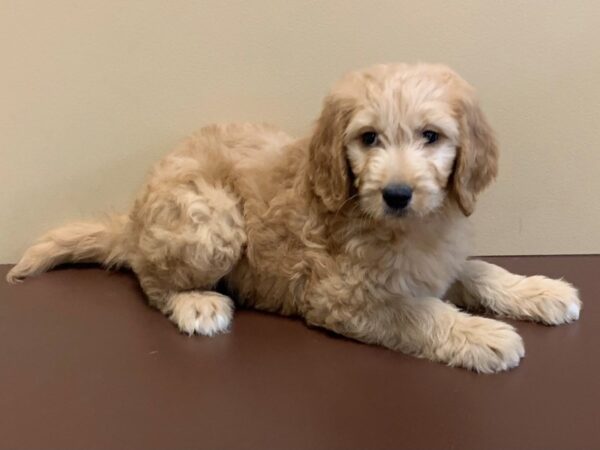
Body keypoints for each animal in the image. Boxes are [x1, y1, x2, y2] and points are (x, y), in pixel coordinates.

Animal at [7, 63, 580, 372]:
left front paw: (541, 291)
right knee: (151, 280)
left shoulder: (438, 258)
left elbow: (481, 270)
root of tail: (133, 219)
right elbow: (419, 314)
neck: (405, 226)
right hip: (212, 219)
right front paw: (483, 335)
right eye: (369, 138)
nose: (397, 194)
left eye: (430, 136)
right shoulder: (344, 297)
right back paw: (196, 302)